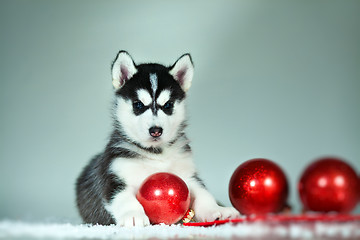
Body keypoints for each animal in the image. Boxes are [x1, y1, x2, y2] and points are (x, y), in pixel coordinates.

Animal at [76, 51, 239, 226]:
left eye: (168, 105)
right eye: (138, 105)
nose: (156, 131)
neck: (156, 153)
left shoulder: (188, 174)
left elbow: (203, 193)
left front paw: (216, 210)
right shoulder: (114, 176)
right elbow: (123, 198)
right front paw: (133, 216)